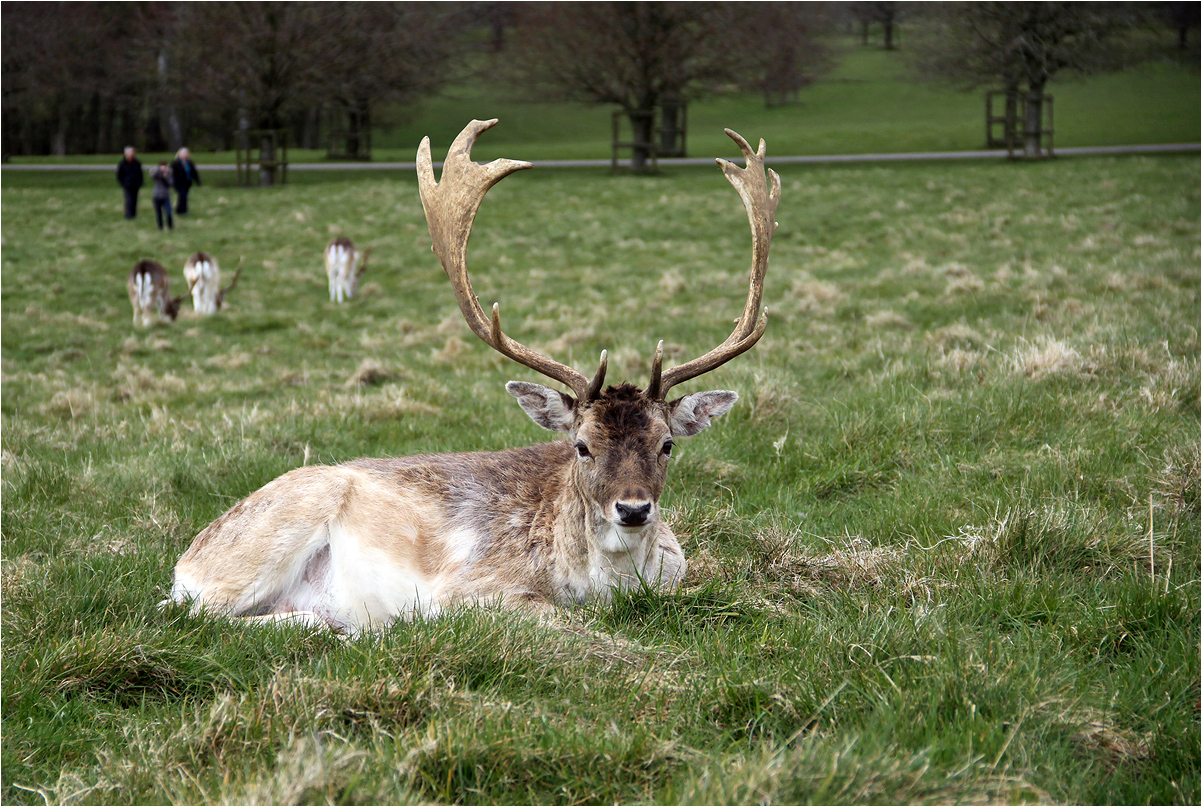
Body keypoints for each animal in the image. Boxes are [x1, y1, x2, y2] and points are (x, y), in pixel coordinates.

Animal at [167, 121, 778, 639]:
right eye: (581, 445)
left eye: (667, 443)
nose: (632, 509)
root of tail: (185, 561)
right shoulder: (469, 588)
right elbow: (560, 619)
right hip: (272, 533)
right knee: (194, 615)